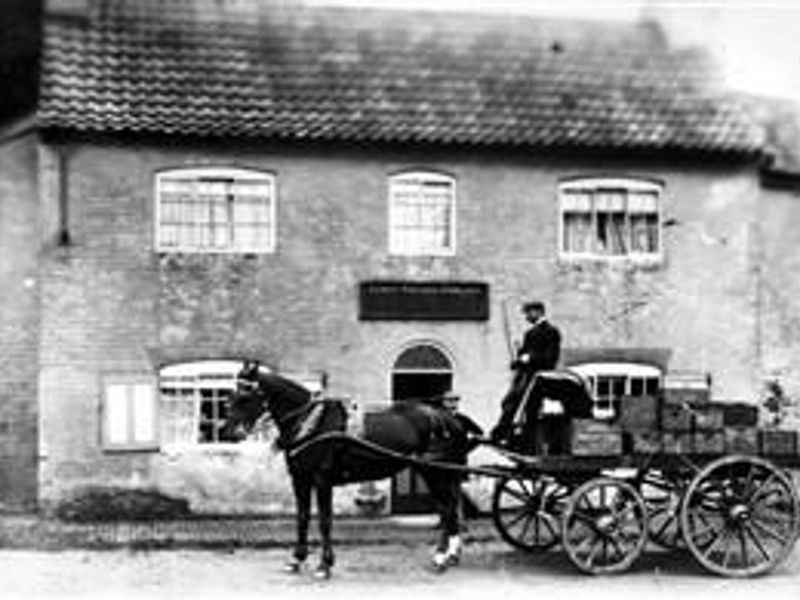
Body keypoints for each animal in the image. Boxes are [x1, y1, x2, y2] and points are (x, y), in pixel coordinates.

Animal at [220, 358, 482, 580]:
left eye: (245, 394)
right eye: (232, 393)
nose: (227, 431)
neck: (311, 423)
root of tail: (446, 416)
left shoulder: (322, 480)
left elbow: (325, 521)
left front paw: (324, 565)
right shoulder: (300, 479)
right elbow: (302, 517)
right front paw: (296, 559)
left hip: (434, 472)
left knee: (448, 510)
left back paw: (441, 557)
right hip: (437, 472)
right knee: (448, 509)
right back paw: (450, 554)